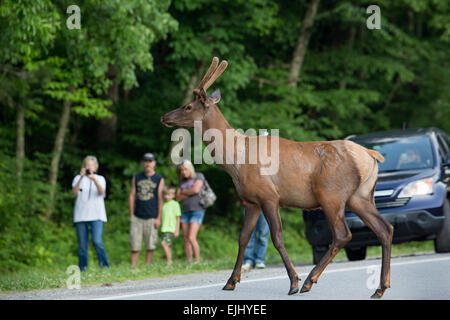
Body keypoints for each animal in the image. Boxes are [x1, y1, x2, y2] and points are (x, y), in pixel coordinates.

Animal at [162, 56, 394, 298]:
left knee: (343, 235)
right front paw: (231, 281)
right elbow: (243, 237)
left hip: (332, 195)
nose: (164, 116)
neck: (235, 161)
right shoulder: (252, 201)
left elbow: (277, 238)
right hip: (360, 196)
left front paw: (293, 281)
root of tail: (371, 155)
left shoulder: (269, 196)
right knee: (385, 229)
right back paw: (380, 288)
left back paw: (309, 281)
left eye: (188, 106)